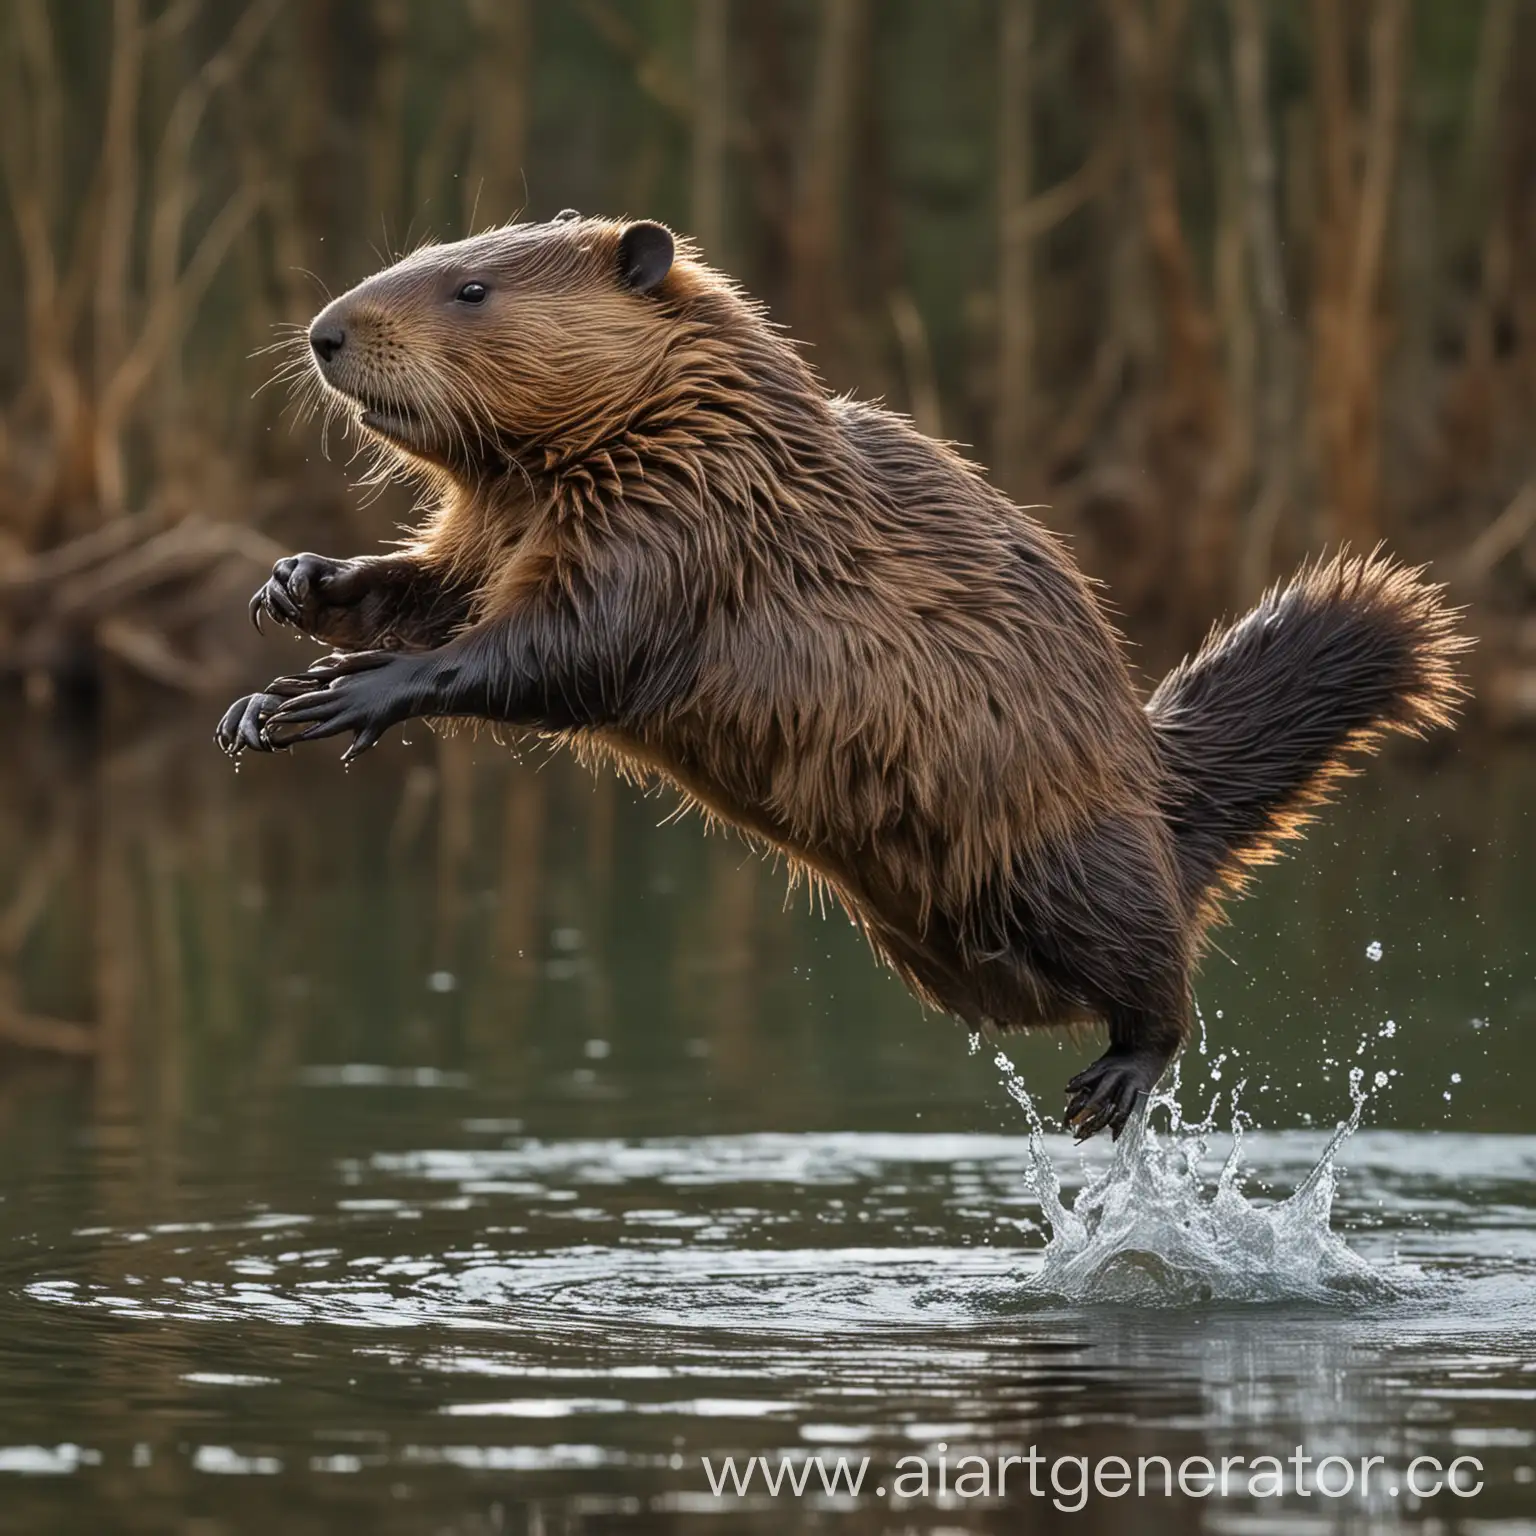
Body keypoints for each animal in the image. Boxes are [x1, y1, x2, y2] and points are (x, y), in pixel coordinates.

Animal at [213, 213, 1462, 1142]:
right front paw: (288, 614)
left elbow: (563, 646)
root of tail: (1166, 783)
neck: (694, 420)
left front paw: (347, 693)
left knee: (1158, 967)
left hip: (1071, 851)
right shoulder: (508, 518)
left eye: (471, 288)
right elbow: (444, 586)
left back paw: (1109, 1085)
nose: (325, 334)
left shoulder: (687, 519)